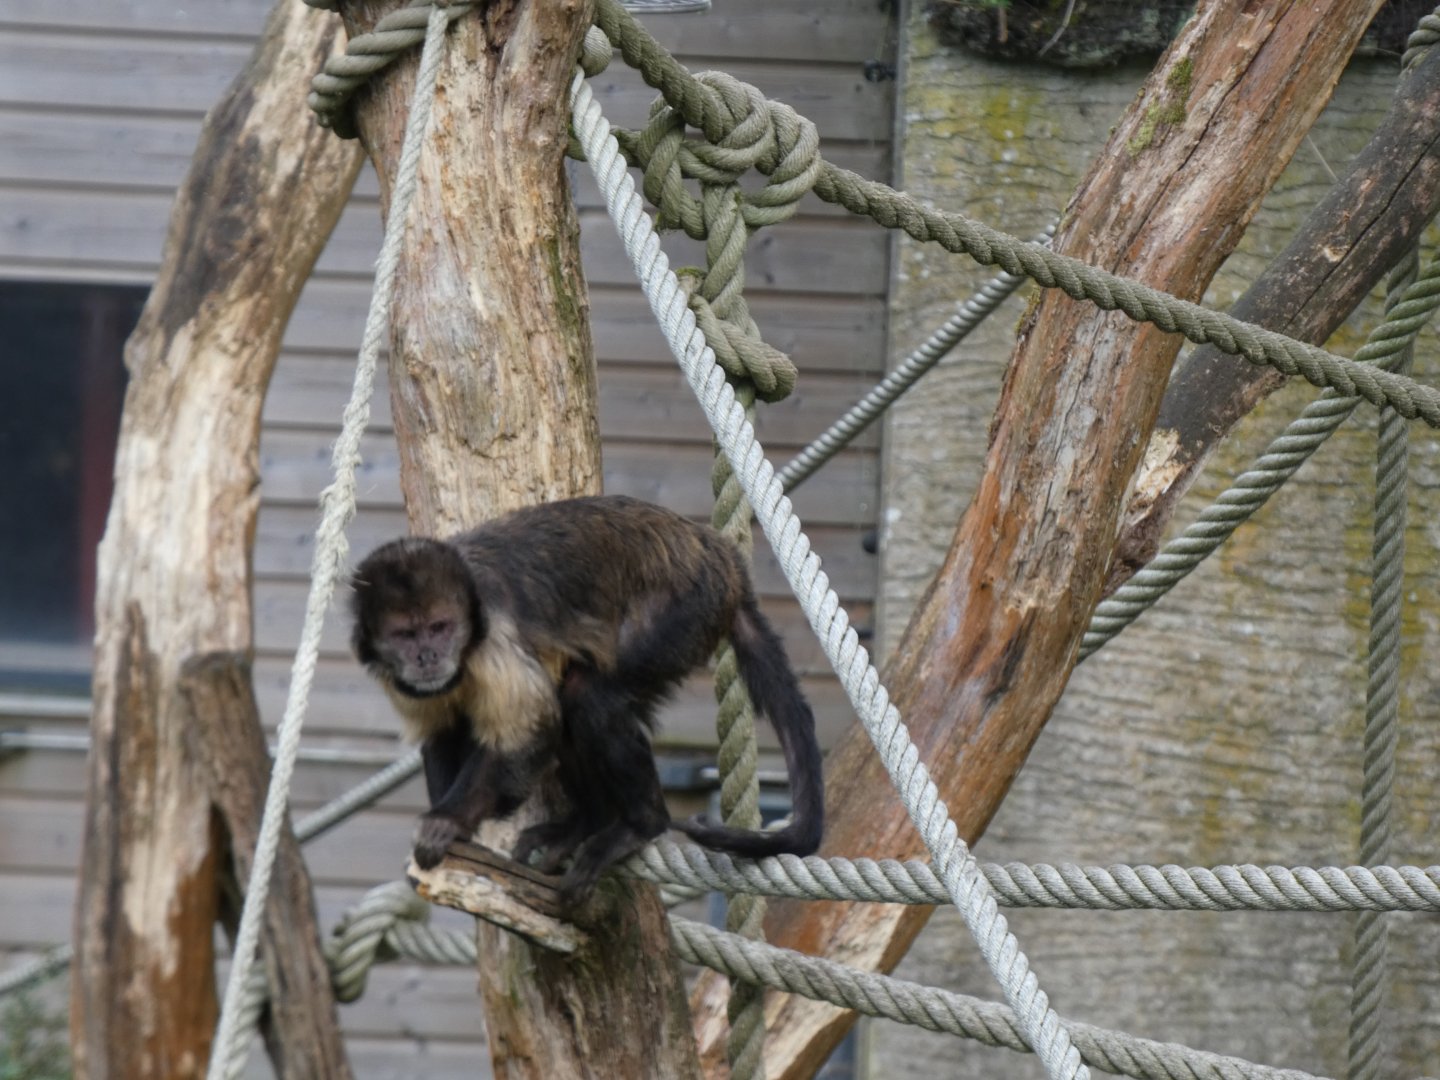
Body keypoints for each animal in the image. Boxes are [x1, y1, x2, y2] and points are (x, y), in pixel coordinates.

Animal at [349, 494, 824, 906]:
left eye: (440, 628)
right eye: (406, 636)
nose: (428, 656)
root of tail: (719, 555)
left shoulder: (495, 637)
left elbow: (530, 731)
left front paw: (449, 821)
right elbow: (443, 729)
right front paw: (458, 829)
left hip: (684, 606)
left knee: (587, 697)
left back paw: (641, 824)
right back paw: (587, 823)